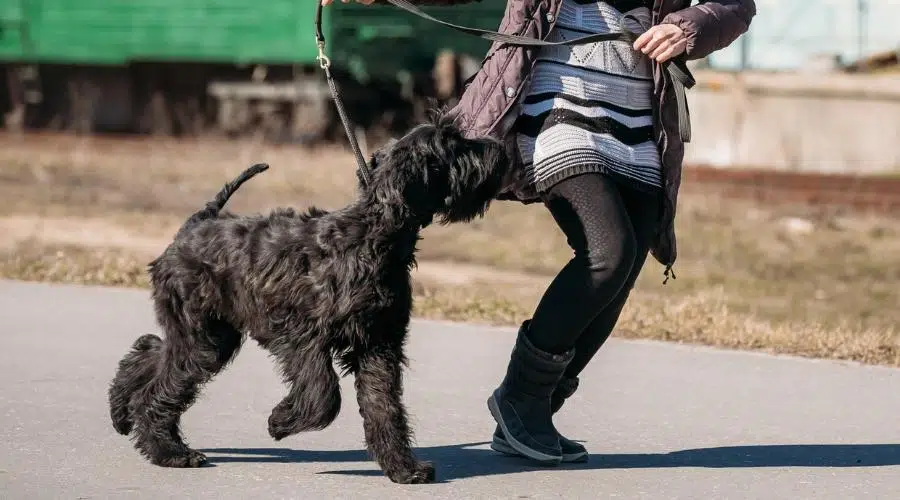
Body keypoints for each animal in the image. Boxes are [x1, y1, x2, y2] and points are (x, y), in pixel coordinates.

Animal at [107, 111, 506, 482]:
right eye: (452, 145)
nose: (498, 149)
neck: (374, 236)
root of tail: (195, 223)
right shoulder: (302, 336)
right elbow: (325, 394)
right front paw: (280, 421)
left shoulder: (378, 343)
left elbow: (383, 406)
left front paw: (402, 468)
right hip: (201, 338)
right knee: (161, 385)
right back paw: (169, 451)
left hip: (213, 336)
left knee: (149, 351)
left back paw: (121, 413)